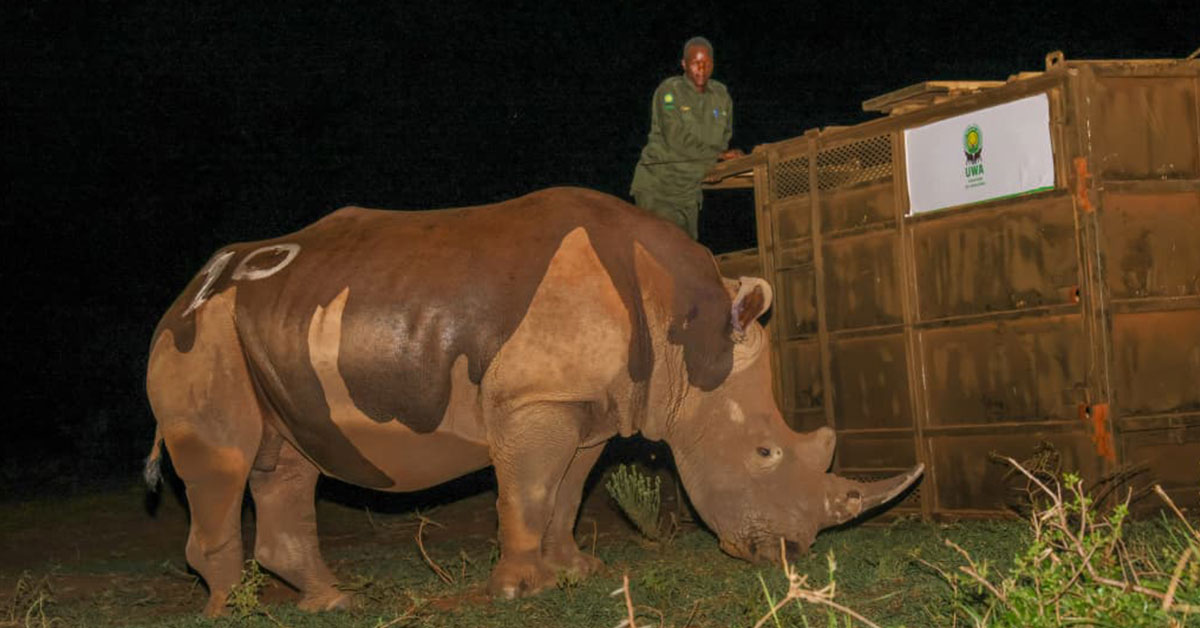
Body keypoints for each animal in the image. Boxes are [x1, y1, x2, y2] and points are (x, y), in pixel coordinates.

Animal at [144, 187, 922, 616]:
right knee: (225, 461)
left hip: (259, 329)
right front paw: (520, 591)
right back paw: (231, 609)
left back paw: (333, 601)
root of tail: (185, 292)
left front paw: (576, 572)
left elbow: (567, 492)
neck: (687, 335)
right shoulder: (536, 399)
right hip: (203, 335)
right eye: (764, 451)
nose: (788, 552)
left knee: (285, 464)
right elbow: (528, 490)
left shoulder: (588, 407)